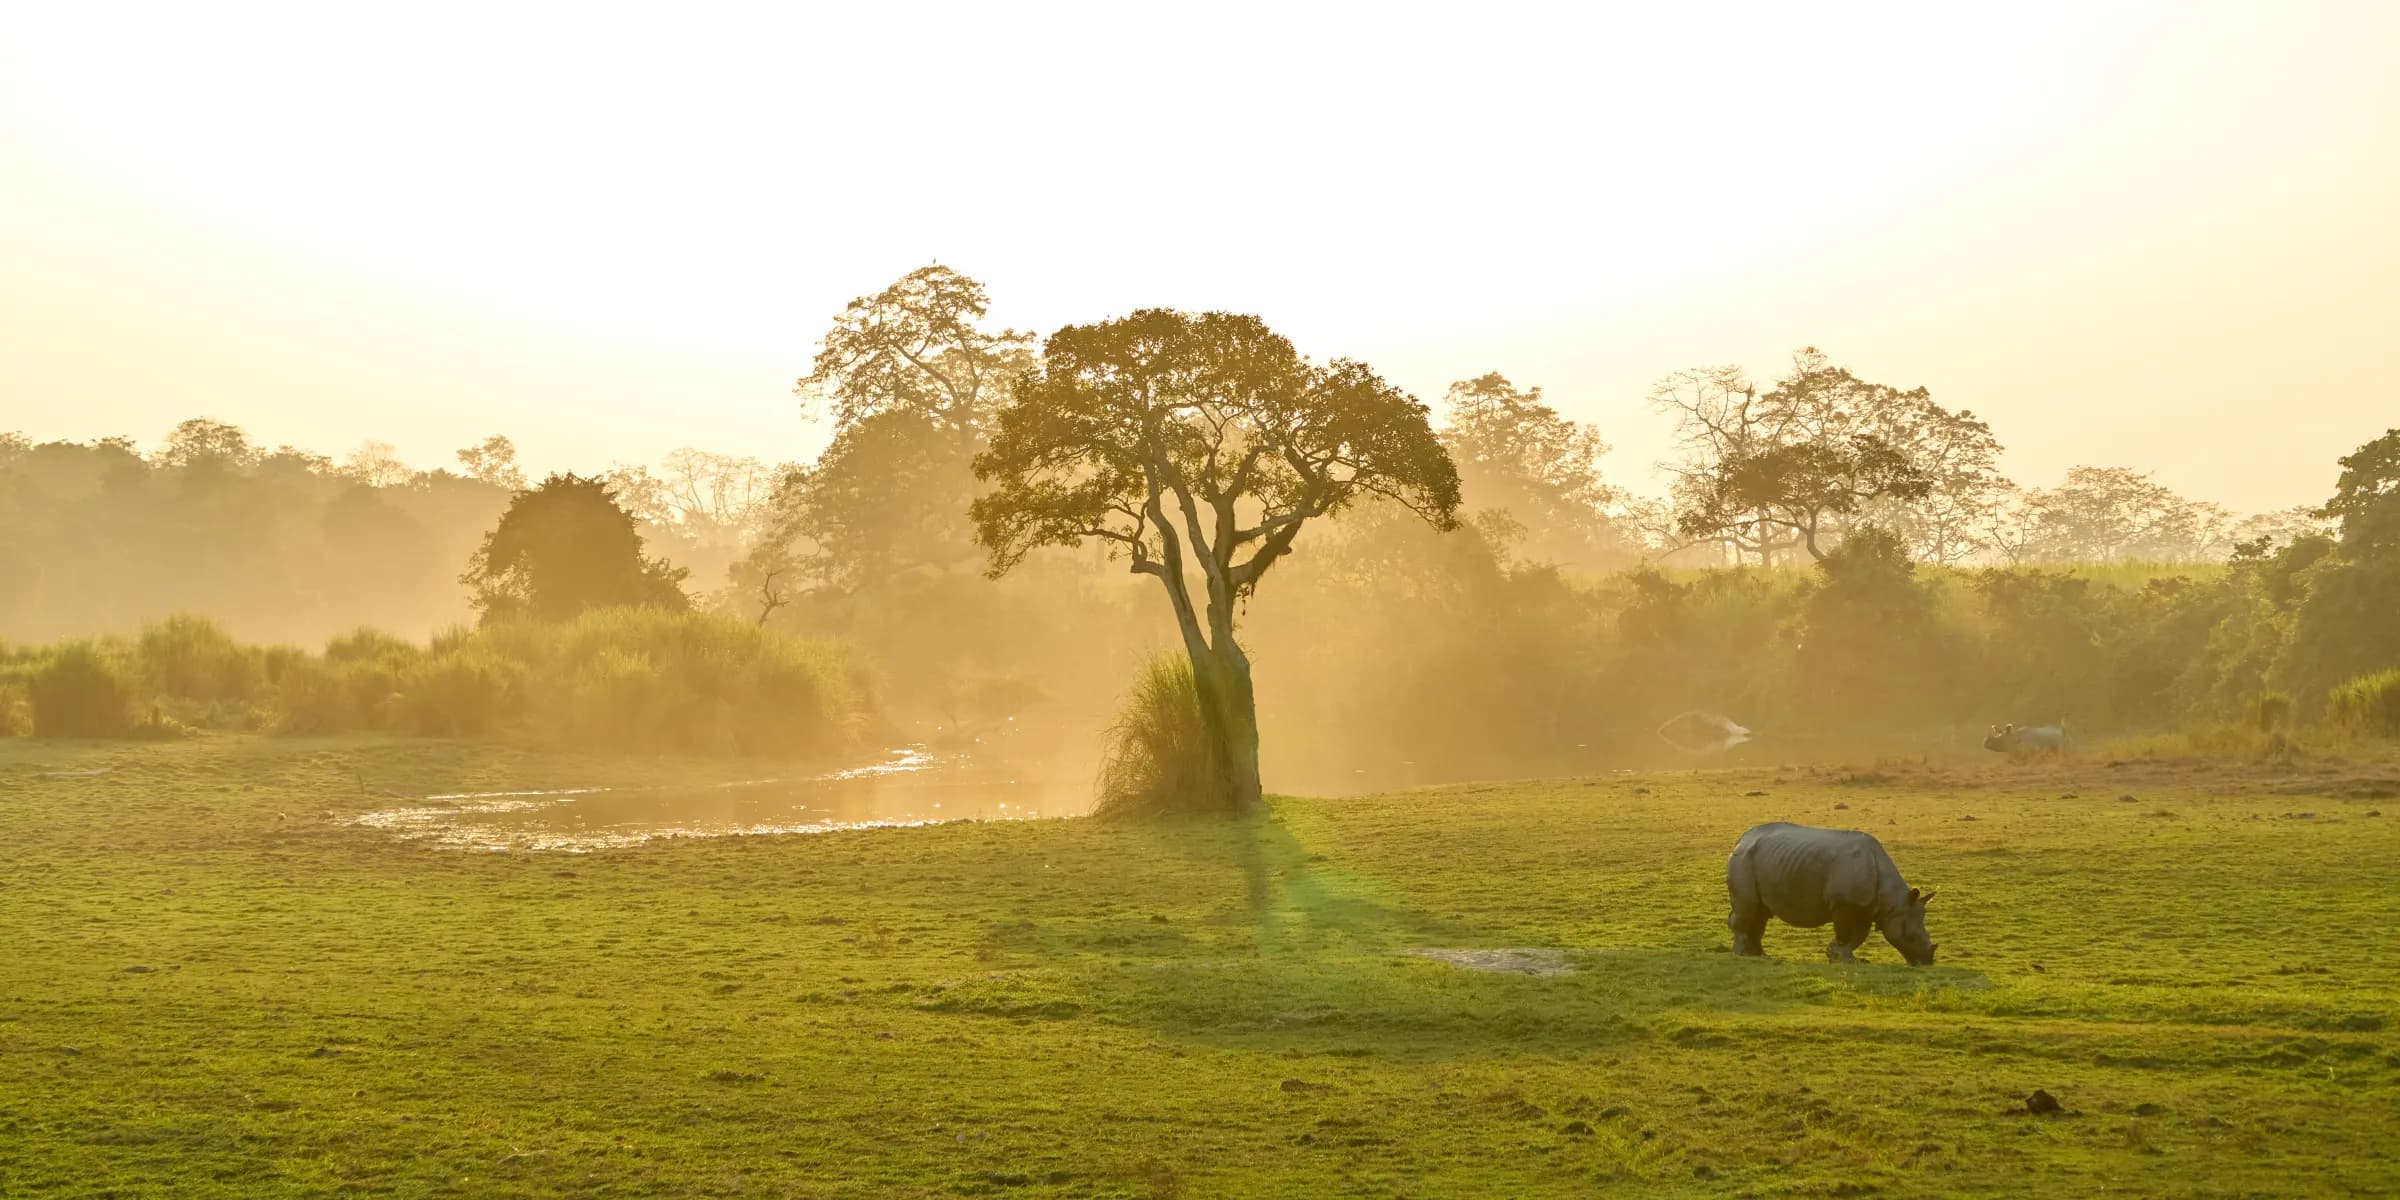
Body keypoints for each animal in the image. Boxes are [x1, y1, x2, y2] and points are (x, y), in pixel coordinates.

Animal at [1725, 822, 1937, 965]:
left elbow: (1859, 935)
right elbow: (1845, 933)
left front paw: (1842, 957)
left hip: (1763, 858)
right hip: (1743, 859)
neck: (1893, 902)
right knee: (1748, 907)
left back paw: (1759, 955)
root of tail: (1742, 839)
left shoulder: (1867, 908)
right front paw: (1843, 959)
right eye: (1911, 937)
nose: (1927, 961)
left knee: (1760, 912)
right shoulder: (1843, 904)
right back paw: (1742, 954)